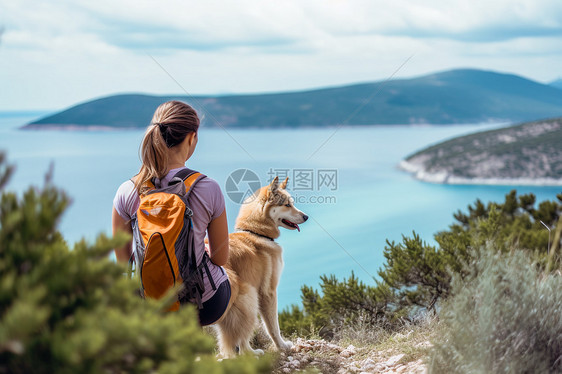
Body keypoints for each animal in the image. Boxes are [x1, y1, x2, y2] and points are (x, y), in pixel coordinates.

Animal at [212, 177, 306, 358]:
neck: (256, 232)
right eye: (287, 205)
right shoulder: (268, 292)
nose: (306, 216)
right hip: (248, 298)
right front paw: (282, 346)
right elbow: (273, 327)